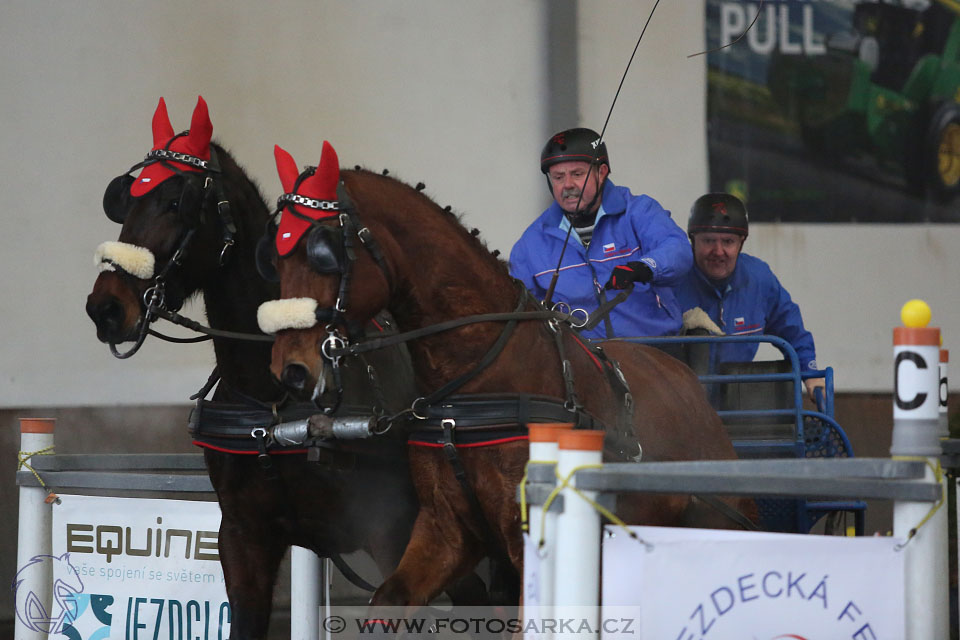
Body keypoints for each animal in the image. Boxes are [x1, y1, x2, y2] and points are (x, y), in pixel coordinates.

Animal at [83, 96, 488, 640]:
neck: (273, 398)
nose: (105, 309)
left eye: (176, 203)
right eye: (123, 202)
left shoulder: (391, 533)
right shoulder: (242, 536)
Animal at [262, 139, 756, 604]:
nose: (291, 368)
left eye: (324, 252)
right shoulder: (444, 532)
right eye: (275, 257)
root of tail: (695, 394)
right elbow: (388, 601)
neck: (475, 376)